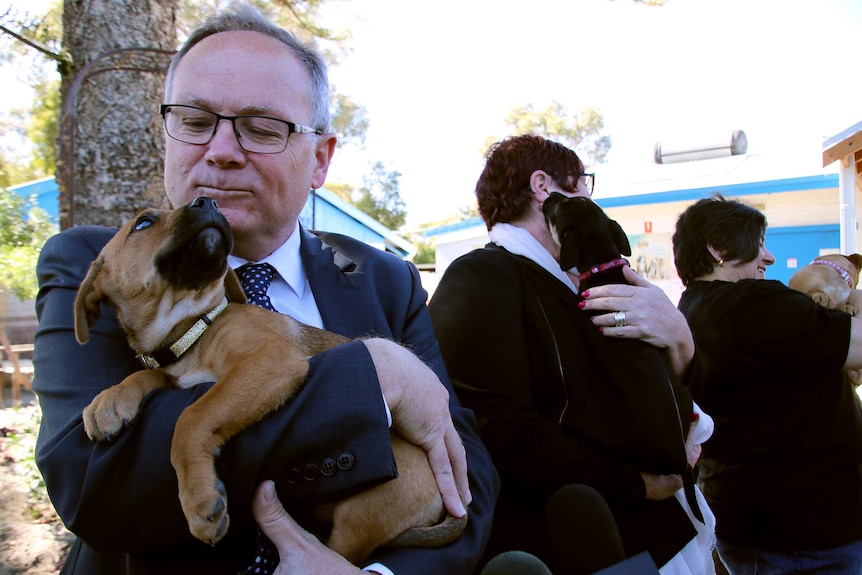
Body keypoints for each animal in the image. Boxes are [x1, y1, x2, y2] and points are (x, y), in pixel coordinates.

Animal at [74, 197, 466, 564]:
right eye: (143, 223)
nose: (207, 202)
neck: (194, 330)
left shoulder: (268, 360)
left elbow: (191, 417)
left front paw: (198, 498)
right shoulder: (179, 375)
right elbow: (148, 374)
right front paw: (109, 401)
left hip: (359, 516)